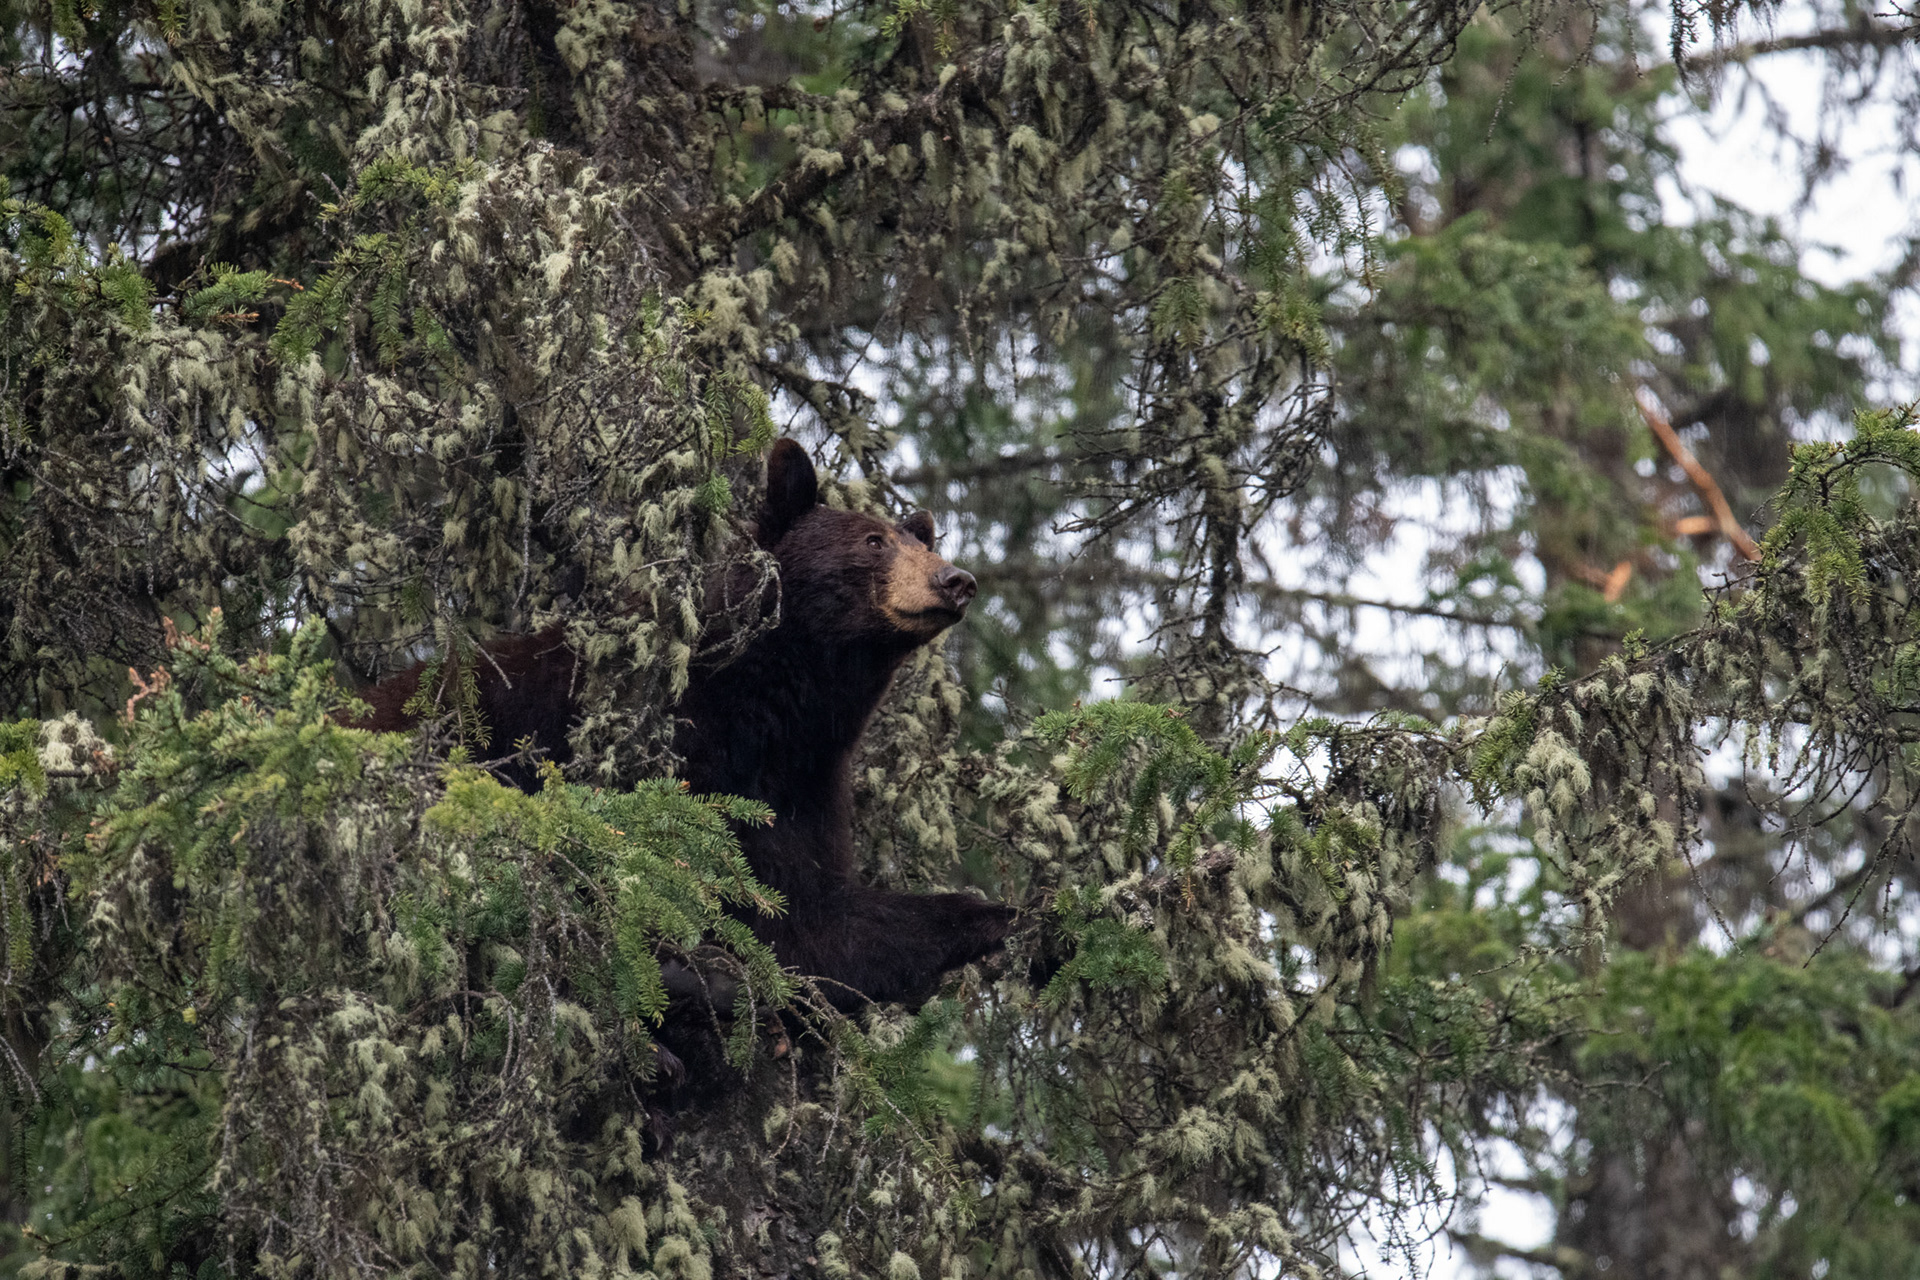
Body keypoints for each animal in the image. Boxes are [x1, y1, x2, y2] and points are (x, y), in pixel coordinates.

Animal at [356, 439, 1016, 1012]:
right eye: (875, 541)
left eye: (917, 543)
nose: (955, 580)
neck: (764, 707)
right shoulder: (643, 746)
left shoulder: (800, 784)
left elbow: (814, 919)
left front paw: (994, 915)